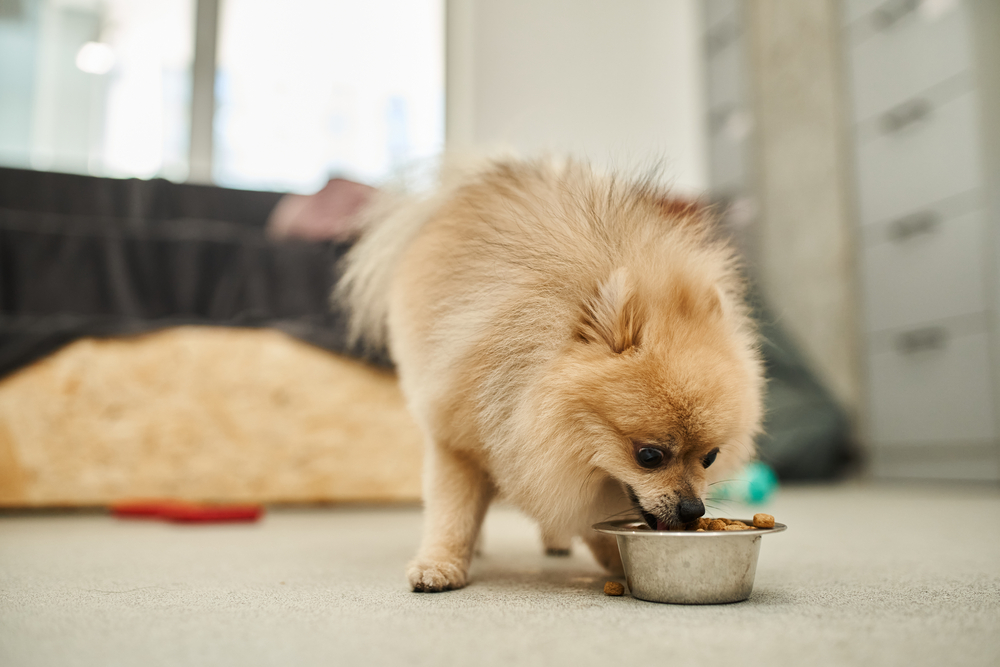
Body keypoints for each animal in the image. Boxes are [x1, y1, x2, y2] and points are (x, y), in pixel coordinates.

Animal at [338, 158, 764, 596]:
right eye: (649, 456)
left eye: (711, 457)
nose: (694, 508)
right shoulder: (459, 438)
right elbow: (451, 512)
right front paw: (440, 563)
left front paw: (614, 559)